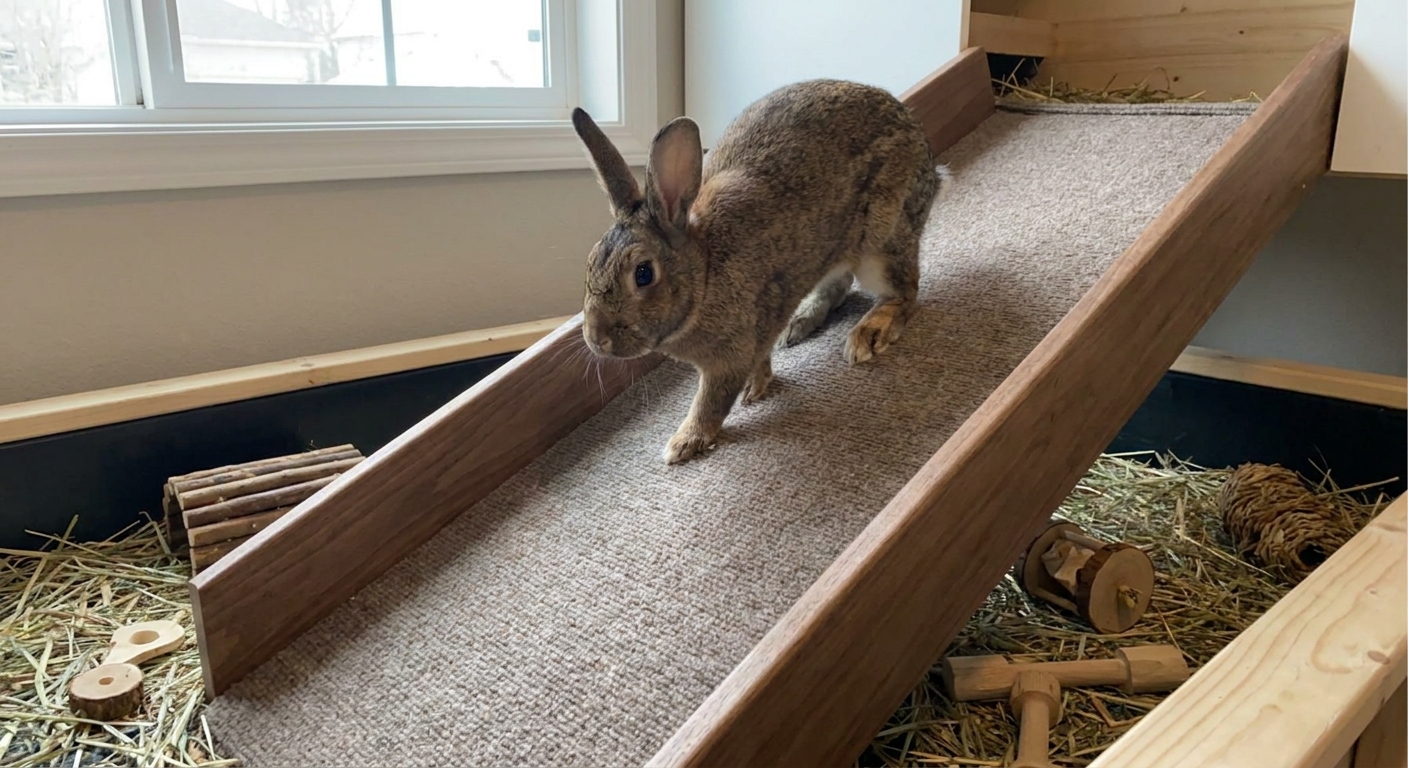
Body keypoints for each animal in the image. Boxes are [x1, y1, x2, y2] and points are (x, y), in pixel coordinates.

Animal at [571, 78, 945, 465]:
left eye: (643, 273)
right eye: (590, 262)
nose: (596, 340)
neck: (704, 275)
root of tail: (927, 161)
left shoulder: (731, 355)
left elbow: (711, 402)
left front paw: (683, 443)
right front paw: (757, 385)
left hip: (881, 241)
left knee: (904, 292)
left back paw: (868, 334)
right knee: (839, 285)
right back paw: (799, 324)